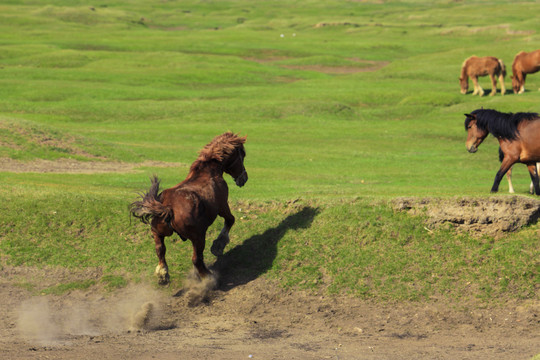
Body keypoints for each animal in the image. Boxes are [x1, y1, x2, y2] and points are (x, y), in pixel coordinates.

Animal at [130, 132, 248, 284]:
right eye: (243, 155)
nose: (244, 178)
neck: (208, 173)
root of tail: (168, 208)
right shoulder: (222, 206)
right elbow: (230, 220)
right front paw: (218, 245)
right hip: (198, 237)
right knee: (196, 259)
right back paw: (208, 277)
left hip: (157, 232)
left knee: (160, 250)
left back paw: (163, 274)